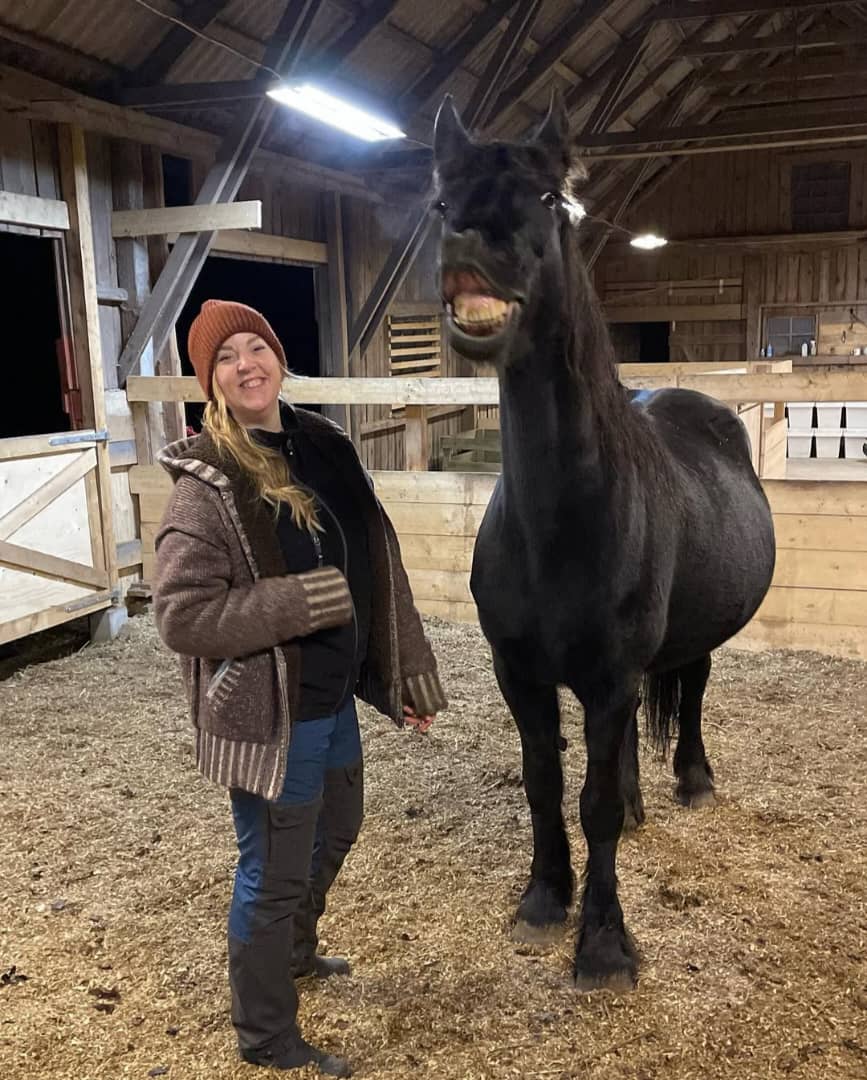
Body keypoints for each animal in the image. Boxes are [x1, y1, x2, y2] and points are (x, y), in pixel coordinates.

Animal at [431, 95, 776, 991]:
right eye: (440, 203)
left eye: (549, 199)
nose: (471, 247)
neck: (562, 526)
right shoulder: (520, 673)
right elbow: (545, 782)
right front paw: (543, 899)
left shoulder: (613, 676)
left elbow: (590, 807)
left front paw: (604, 944)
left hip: (688, 646)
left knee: (691, 693)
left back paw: (689, 781)